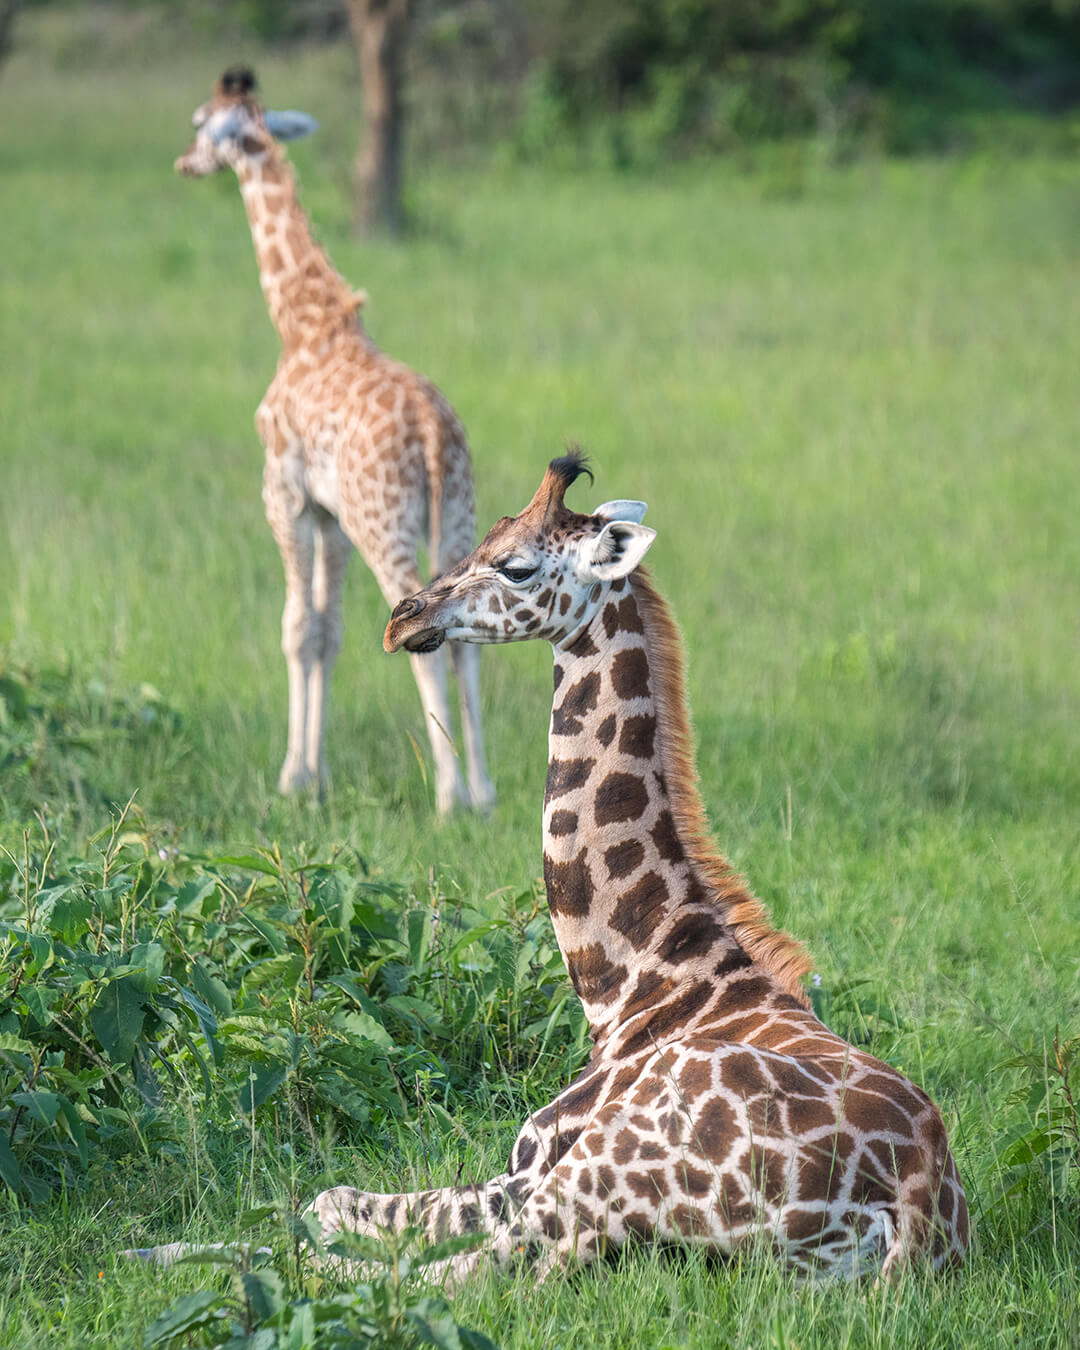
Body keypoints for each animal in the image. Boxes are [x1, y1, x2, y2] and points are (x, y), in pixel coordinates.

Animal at [175, 67, 494, 814]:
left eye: (202, 122)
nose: (185, 163)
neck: (304, 324)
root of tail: (433, 431)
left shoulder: (285, 495)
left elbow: (297, 629)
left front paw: (292, 777)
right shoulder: (332, 514)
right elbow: (328, 632)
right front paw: (315, 775)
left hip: (388, 524)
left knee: (423, 628)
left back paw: (449, 795)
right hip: (457, 513)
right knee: (467, 631)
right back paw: (486, 791)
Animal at [308, 452, 969, 1284]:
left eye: (516, 564)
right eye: (483, 533)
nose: (404, 618)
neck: (639, 980)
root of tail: (912, 1206)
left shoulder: (536, 1157)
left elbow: (340, 1211)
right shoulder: (524, 1166)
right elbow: (339, 1200)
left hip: (610, 1169)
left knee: (481, 1273)